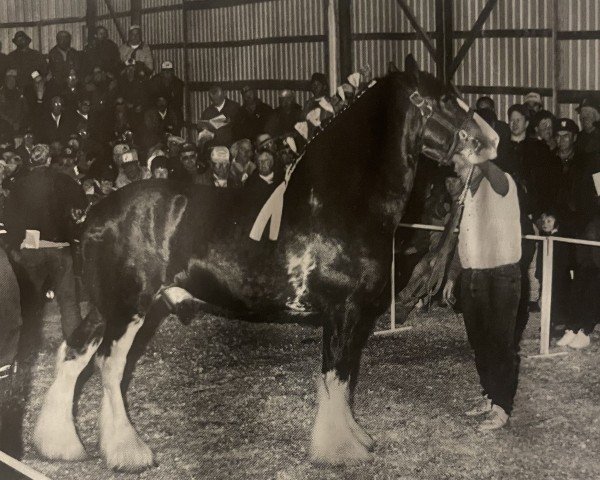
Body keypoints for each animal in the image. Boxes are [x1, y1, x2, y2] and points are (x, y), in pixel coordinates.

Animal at [35, 57, 500, 472]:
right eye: (445, 100)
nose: (492, 140)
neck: (337, 201)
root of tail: (93, 214)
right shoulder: (343, 310)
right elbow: (335, 375)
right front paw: (339, 451)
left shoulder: (355, 316)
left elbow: (345, 376)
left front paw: (357, 438)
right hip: (129, 308)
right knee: (110, 366)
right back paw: (128, 453)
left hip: (106, 307)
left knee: (73, 353)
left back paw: (60, 445)